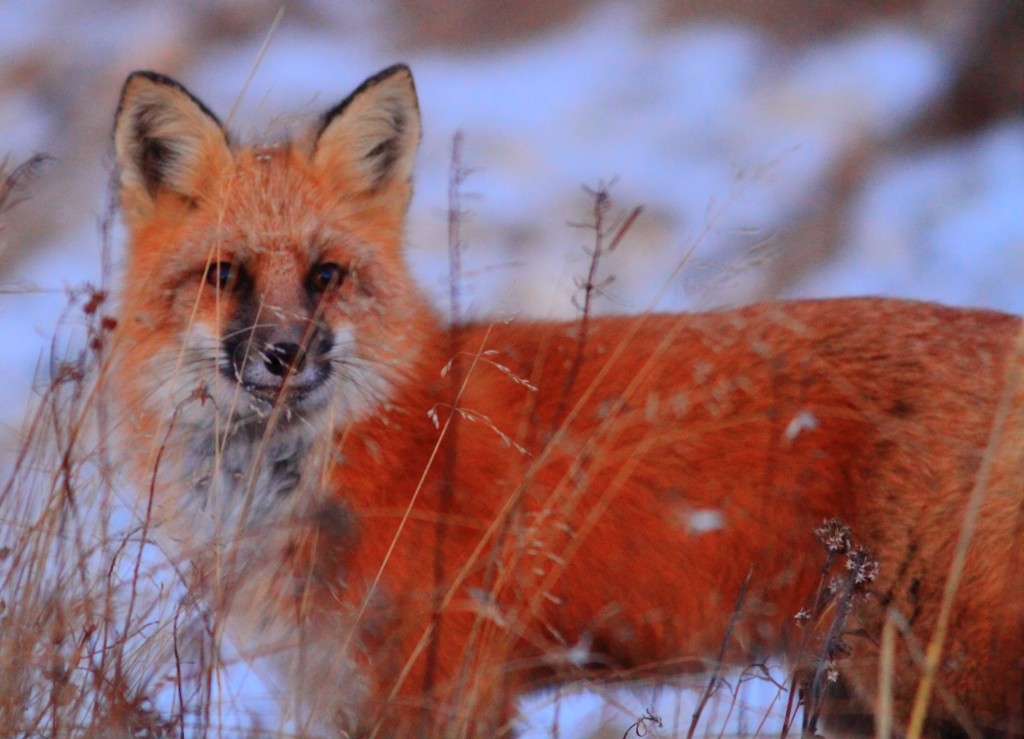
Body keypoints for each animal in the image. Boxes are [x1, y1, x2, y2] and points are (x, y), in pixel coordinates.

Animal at [110, 65, 1023, 737]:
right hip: (861, 694)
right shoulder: (338, 688)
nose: (285, 352)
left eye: (325, 275)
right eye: (226, 275)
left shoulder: (446, 685)